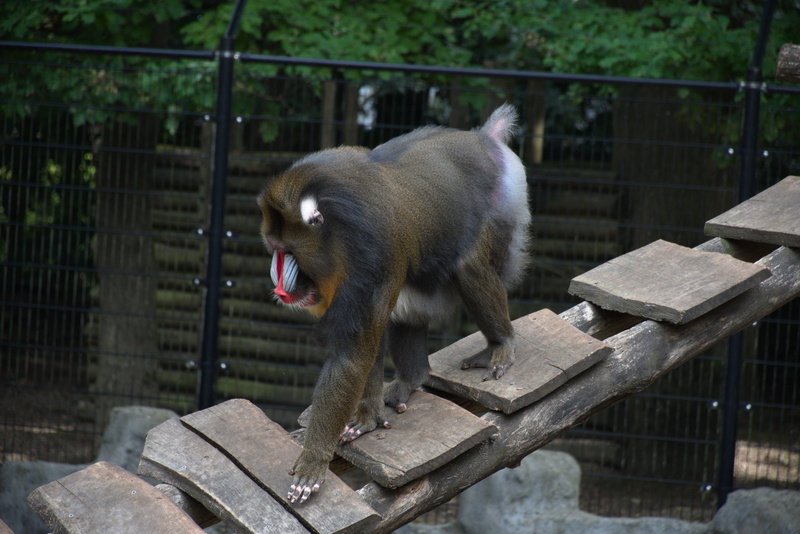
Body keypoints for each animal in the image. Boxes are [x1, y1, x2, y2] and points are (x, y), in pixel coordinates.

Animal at [257, 104, 531, 504]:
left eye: (287, 251)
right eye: (274, 250)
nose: (278, 286)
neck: (339, 232)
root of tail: (483, 137)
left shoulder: (375, 258)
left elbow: (352, 356)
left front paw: (312, 463)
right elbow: (368, 349)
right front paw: (366, 418)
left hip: (497, 209)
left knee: (469, 268)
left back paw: (502, 344)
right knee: (403, 313)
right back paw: (410, 379)